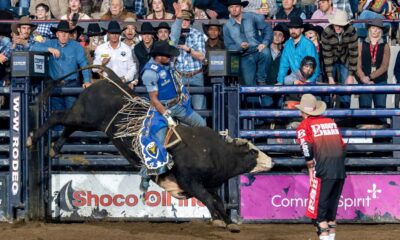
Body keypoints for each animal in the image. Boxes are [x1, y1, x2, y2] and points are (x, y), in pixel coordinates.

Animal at [26, 65, 274, 232]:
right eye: (253, 151)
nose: (272, 161)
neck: (214, 152)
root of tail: (108, 80)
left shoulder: (210, 184)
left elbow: (218, 200)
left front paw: (230, 222)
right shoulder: (190, 181)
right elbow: (208, 199)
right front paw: (220, 221)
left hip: (86, 121)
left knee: (67, 126)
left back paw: (53, 148)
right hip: (84, 116)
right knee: (59, 117)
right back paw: (31, 139)